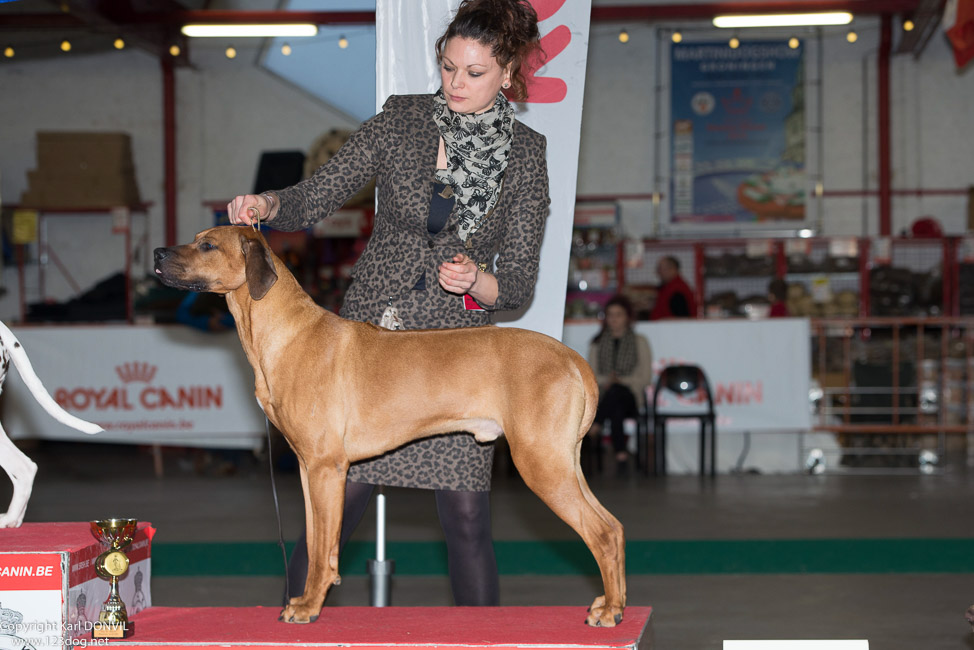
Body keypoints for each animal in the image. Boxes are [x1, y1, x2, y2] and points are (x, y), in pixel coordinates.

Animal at [152, 227, 624, 624]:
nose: (157, 253)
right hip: (563, 460)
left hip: (540, 462)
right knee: (614, 527)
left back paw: (611, 612)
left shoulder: (327, 467)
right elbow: (316, 541)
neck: (286, 333)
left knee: (600, 532)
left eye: (207, 244)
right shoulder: (308, 470)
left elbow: (323, 546)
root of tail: (572, 358)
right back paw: (611, 601)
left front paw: (308, 606)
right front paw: (308, 597)